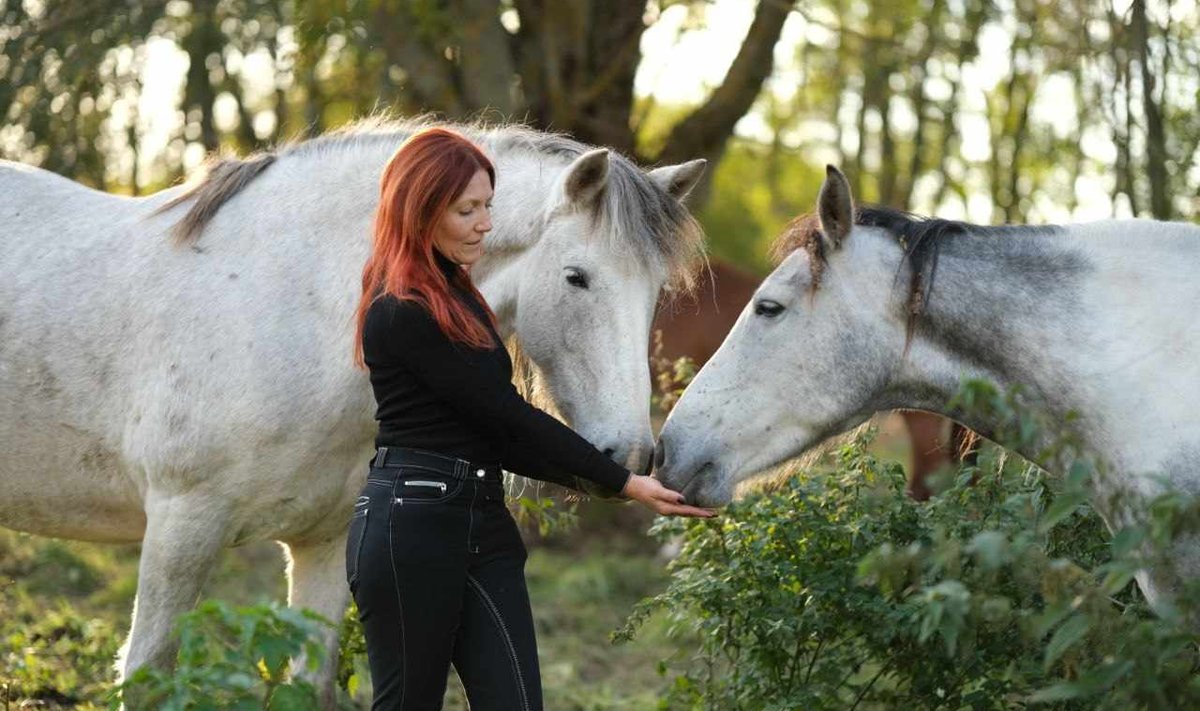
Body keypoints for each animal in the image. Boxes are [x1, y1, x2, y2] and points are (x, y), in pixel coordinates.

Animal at [0, 118, 705, 706]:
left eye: (655, 292)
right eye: (576, 277)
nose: (633, 456)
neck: (292, 310)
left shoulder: (323, 543)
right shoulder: (180, 529)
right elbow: (147, 676)